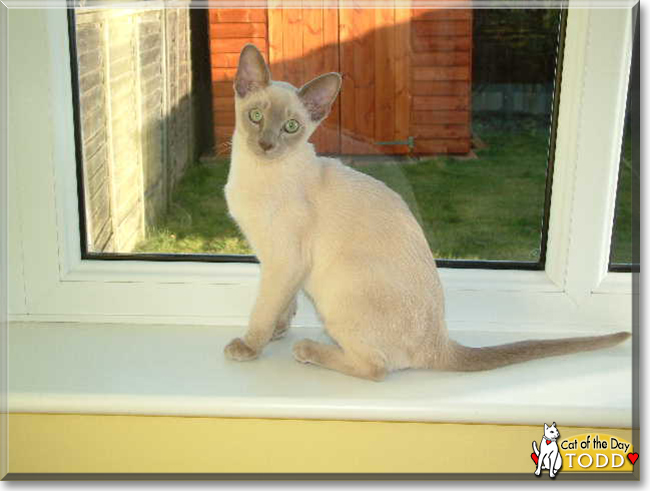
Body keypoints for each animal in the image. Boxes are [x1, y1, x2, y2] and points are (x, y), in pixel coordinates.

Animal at [221, 43, 628, 380]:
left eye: (291, 126)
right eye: (256, 116)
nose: (266, 144)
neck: (256, 173)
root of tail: (440, 341)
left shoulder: (284, 260)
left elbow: (264, 308)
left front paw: (250, 345)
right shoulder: (278, 263)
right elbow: (283, 305)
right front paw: (278, 331)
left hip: (337, 293)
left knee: (375, 369)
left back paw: (308, 350)